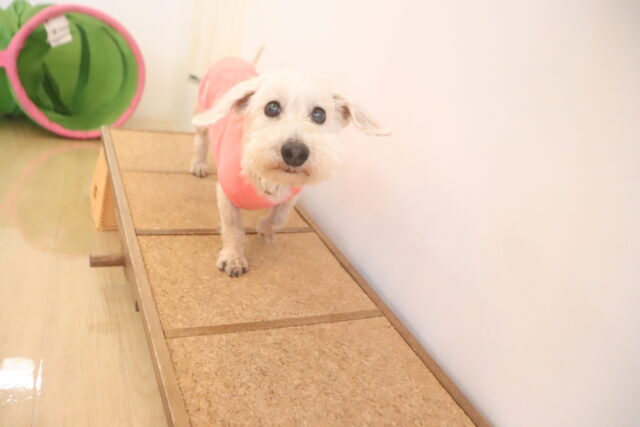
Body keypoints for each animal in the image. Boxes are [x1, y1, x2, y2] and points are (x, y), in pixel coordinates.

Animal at [191, 57, 391, 277]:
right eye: (271, 108)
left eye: (319, 114)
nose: (295, 153)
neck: (270, 178)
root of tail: (232, 59)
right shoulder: (226, 194)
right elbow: (232, 227)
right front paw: (234, 258)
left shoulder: (291, 195)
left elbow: (279, 218)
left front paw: (264, 228)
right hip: (202, 117)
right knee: (201, 141)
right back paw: (199, 165)